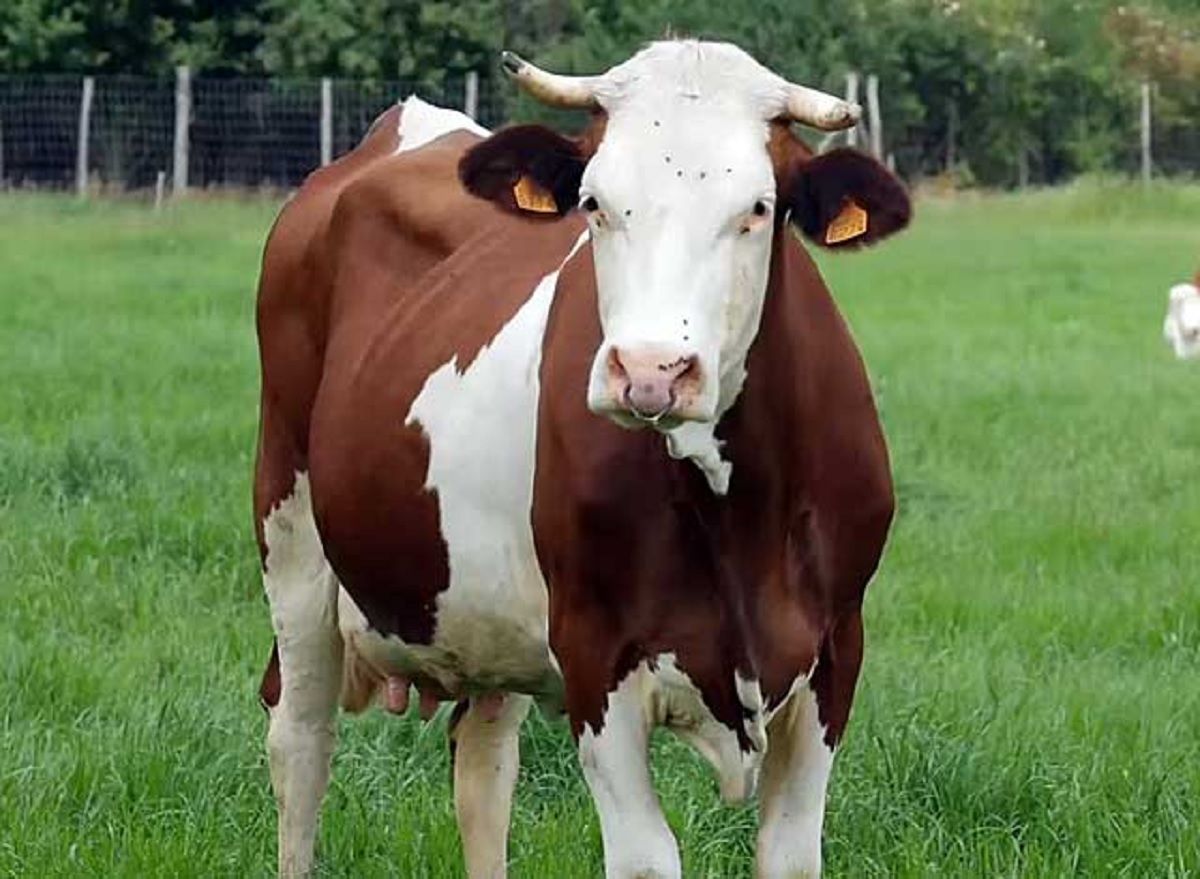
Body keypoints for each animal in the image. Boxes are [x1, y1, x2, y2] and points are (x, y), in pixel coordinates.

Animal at [254, 40, 911, 879]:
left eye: (759, 209)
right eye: (595, 202)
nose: (652, 371)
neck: (739, 519)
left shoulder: (835, 652)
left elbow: (789, 852)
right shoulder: (597, 655)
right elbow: (646, 858)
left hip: (484, 615)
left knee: (483, 768)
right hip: (291, 529)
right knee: (301, 742)